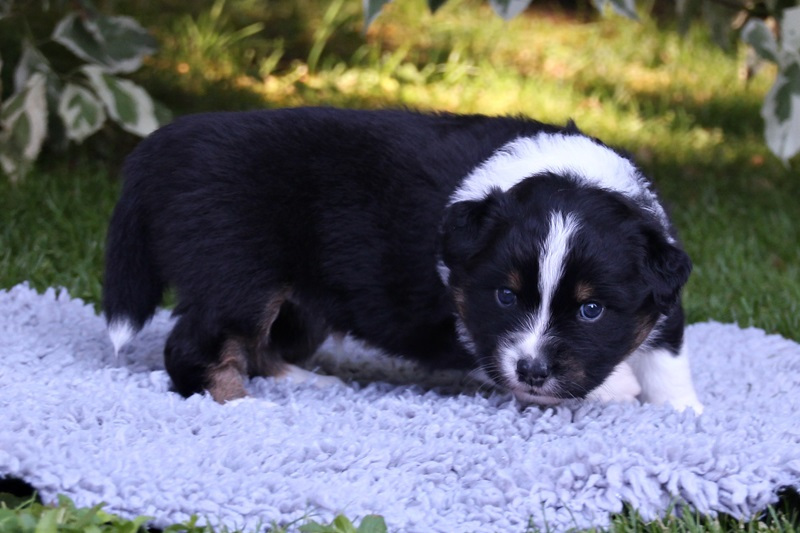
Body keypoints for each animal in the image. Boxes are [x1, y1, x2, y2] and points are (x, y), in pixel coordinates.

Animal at [103, 107, 703, 412]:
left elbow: (666, 358)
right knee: (196, 347)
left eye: (590, 310)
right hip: (236, 275)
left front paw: (684, 412)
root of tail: (160, 146)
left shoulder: (662, 289)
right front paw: (617, 389)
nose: (532, 370)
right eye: (506, 296)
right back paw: (243, 407)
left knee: (260, 346)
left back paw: (307, 381)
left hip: (298, 301)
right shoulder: (472, 322)